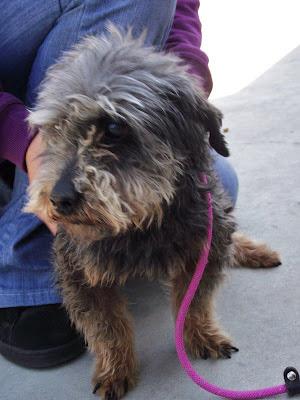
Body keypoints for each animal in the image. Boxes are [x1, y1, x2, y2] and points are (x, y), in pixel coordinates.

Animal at [25, 26, 282, 398]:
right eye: (56, 127)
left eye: (114, 129)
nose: (58, 200)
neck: (141, 223)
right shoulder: (76, 271)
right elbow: (106, 326)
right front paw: (116, 368)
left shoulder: (204, 245)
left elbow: (195, 300)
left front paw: (200, 335)